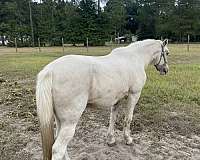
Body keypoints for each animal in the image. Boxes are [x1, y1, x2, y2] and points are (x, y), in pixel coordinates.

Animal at [36, 39, 169, 160]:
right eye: (167, 53)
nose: (165, 70)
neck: (135, 58)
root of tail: (50, 70)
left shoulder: (117, 99)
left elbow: (112, 119)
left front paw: (111, 140)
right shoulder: (134, 95)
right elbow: (128, 119)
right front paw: (128, 139)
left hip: (60, 121)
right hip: (69, 122)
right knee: (58, 148)